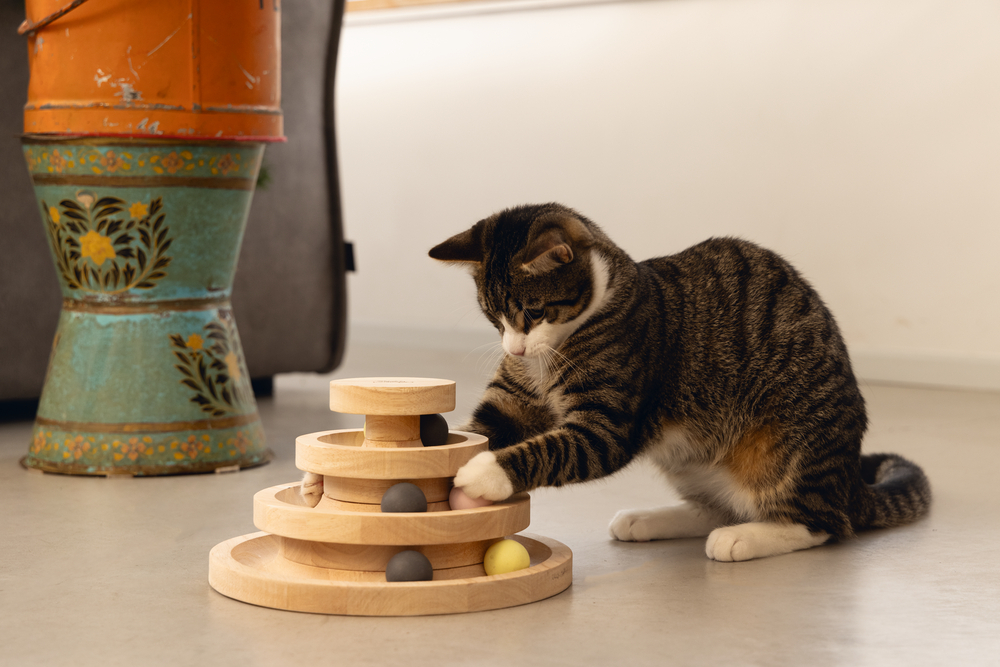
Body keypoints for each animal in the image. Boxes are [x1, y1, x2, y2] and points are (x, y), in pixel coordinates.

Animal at [428, 204, 928, 564]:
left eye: (533, 312)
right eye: (494, 319)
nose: (514, 350)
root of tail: (850, 483)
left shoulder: (609, 423)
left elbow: (555, 448)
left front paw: (485, 472)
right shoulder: (511, 400)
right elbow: (480, 430)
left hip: (788, 446)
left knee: (822, 523)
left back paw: (743, 538)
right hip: (687, 456)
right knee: (716, 506)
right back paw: (648, 520)